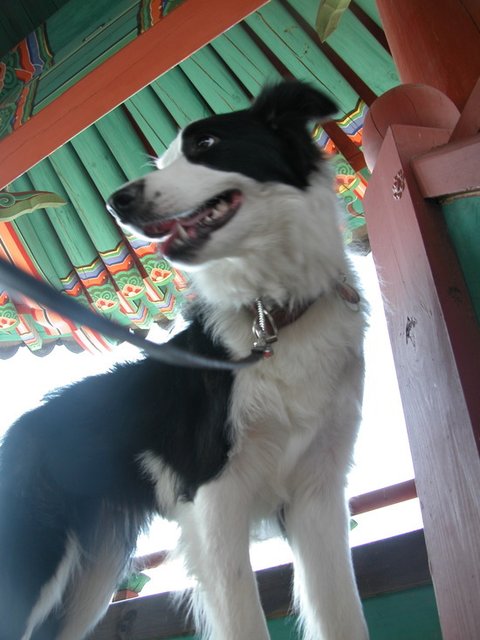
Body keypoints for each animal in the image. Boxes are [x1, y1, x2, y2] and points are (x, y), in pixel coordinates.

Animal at [0, 81, 368, 640]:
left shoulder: (318, 493)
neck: (272, 314)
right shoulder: (215, 496)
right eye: (163, 160)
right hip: (34, 559)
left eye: (207, 143)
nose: (117, 202)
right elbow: (244, 620)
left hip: (91, 574)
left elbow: (344, 614)